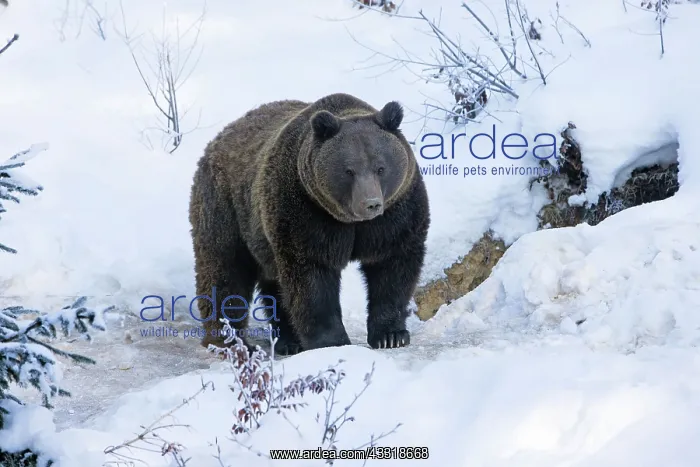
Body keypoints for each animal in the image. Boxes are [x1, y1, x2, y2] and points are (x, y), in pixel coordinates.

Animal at [188, 92, 430, 355]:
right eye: (349, 170)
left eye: (381, 167)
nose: (371, 204)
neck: (350, 221)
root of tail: (219, 137)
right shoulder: (305, 211)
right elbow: (311, 276)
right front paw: (332, 341)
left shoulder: (396, 214)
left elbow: (393, 266)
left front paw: (391, 335)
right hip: (226, 209)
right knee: (225, 271)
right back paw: (231, 341)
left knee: (275, 286)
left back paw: (287, 341)